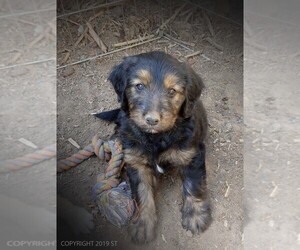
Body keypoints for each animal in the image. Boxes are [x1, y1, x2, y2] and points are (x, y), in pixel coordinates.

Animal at [96, 51, 211, 244]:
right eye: (139, 86)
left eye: (172, 91)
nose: (151, 120)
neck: (156, 138)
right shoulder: (136, 163)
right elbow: (142, 194)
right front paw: (142, 225)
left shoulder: (192, 154)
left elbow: (193, 184)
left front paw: (195, 216)